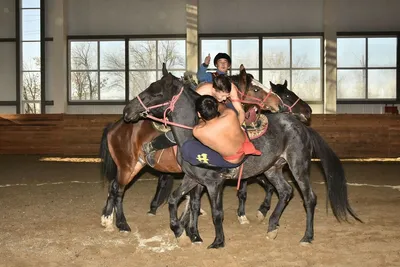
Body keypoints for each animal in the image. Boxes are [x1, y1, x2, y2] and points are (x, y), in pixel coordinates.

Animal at [98, 66, 282, 232]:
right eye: (256, 88)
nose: (278, 102)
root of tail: (115, 126)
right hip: (126, 166)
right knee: (118, 190)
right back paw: (121, 223)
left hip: (135, 165)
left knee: (114, 186)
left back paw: (107, 218)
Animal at [122, 67, 360, 249]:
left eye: (154, 93)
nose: (127, 111)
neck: (193, 134)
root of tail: (301, 126)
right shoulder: (193, 179)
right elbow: (174, 200)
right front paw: (181, 232)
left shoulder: (213, 183)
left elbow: (216, 212)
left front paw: (216, 241)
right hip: (273, 169)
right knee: (285, 191)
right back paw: (272, 226)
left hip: (298, 166)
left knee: (309, 198)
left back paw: (306, 237)